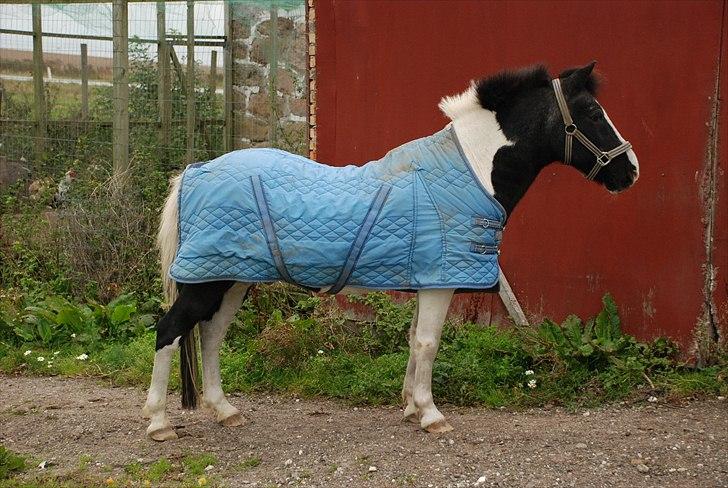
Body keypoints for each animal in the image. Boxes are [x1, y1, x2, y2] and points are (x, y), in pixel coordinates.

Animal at [142, 62, 639, 441]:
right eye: (592, 112)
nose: (630, 171)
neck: (472, 171)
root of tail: (195, 171)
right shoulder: (439, 284)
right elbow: (428, 342)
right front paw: (431, 414)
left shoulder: (427, 280)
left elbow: (415, 339)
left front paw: (410, 407)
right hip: (206, 283)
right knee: (169, 331)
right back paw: (158, 423)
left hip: (231, 280)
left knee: (211, 335)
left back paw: (225, 411)